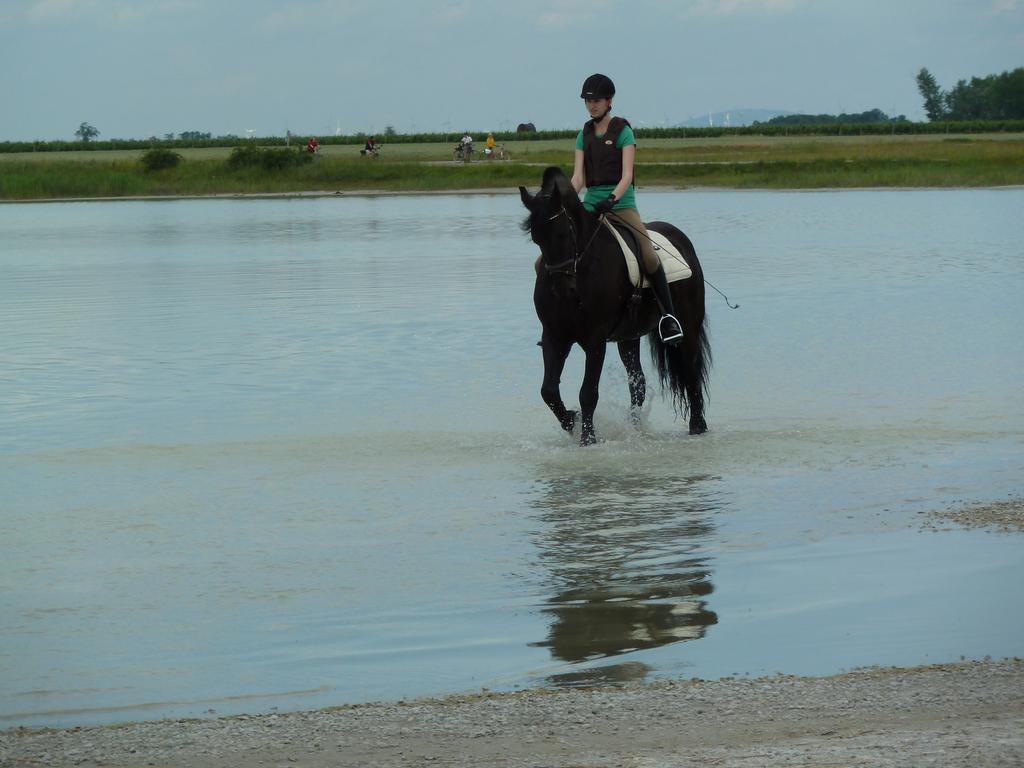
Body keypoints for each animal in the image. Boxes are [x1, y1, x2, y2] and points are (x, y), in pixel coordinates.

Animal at [520, 167, 712, 444]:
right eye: (537, 240)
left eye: (563, 234)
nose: (562, 290)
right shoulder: (555, 336)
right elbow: (548, 391)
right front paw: (571, 420)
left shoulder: (595, 340)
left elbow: (588, 392)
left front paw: (588, 439)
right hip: (628, 336)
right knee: (638, 384)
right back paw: (635, 430)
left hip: (688, 326)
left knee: (690, 372)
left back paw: (697, 426)